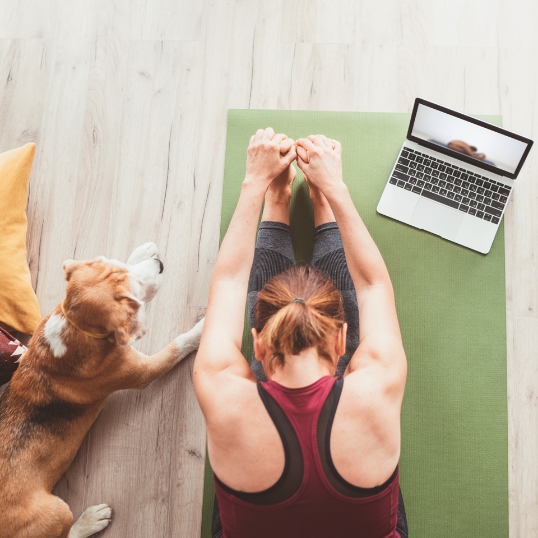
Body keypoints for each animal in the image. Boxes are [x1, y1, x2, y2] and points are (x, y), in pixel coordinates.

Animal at [0, 243, 203, 536]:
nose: (160, 265)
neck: (74, 325)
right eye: (133, 295)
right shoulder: (145, 371)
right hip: (57, 511)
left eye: (119, 268)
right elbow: (179, 343)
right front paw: (202, 329)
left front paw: (143, 252)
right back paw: (90, 519)